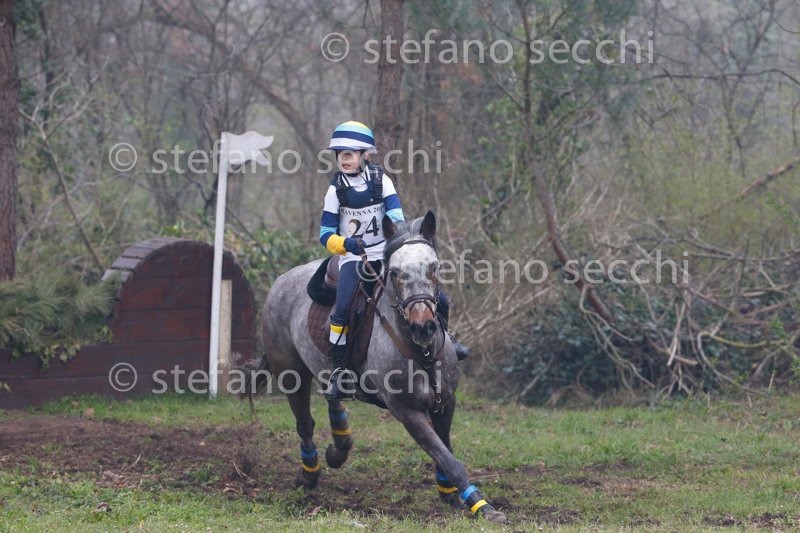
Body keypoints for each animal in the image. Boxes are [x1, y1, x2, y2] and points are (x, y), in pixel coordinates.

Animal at [245, 211, 507, 524]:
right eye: (394, 273)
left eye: (434, 268)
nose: (423, 326)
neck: (422, 351)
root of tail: (281, 281)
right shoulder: (408, 412)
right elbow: (448, 457)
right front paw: (482, 505)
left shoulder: (446, 402)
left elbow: (445, 449)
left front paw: (449, 492)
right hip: (291, 373)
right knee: (305, 423)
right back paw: (309, 473)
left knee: (332, 394)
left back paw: (339, 446)